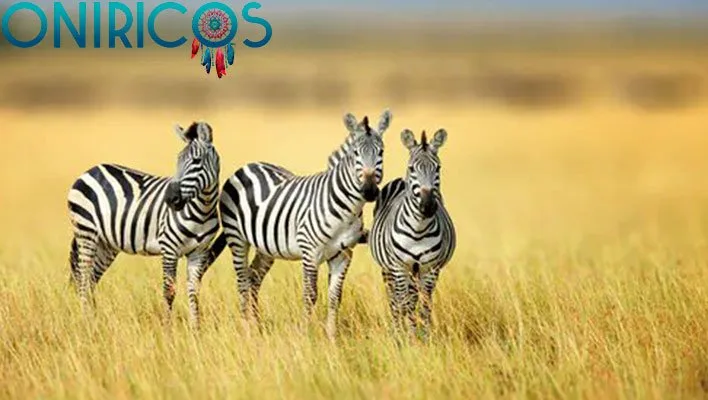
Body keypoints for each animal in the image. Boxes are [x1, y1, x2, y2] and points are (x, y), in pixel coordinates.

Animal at [67, 121, 221, 329]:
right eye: (178, 160)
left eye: (197, 161)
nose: (170, 199)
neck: (202, 210)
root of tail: (90, 170)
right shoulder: (169, 248)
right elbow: (169, 291)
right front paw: (167, 329)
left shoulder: (199, 253)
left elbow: (194, 292)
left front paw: (195, 330)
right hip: (86, 234)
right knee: (83, 280)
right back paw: (86, 323)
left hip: (106, 244)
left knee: (91, 281)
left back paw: (95, 322)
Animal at [200, 109, 392, 340]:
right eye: (355, 153)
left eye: (381, 152)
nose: (370, 190)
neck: (347, 209)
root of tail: (248, 165)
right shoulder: (310, 252)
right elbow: (310, 295)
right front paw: (306, 335)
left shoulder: (343, 255)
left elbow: (335, 296)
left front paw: (331, 337)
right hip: (237, 238)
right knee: (242, 281)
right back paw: (247, 330)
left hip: (266, 246)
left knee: (254, 277)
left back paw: (257, 327)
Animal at [369, 128, 456, 341]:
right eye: (412, 168)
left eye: (438, 168)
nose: (428, 206)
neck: (418, 229)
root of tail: (400, 180)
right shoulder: (399, 266)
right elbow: (403, 303)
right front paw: (405, 337)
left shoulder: (430, 268)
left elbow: (424, 305)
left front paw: (423, 337)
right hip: (389, 269)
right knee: (394, 299)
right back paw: (397, 330)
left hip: (416, 271)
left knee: (414, 297)